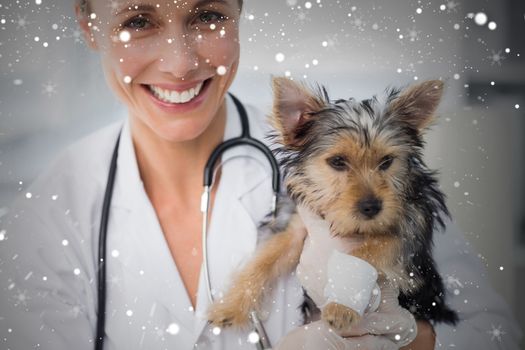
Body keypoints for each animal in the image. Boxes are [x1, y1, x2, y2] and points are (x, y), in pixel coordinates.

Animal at [207, 76, 456, 334]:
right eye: (337, 162)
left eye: (387, 161)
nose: (372, 207)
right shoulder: (297, 224)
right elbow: (265, 257)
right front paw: (231, 305)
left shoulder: (408, 234)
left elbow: (367, 250)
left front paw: (342, 304)